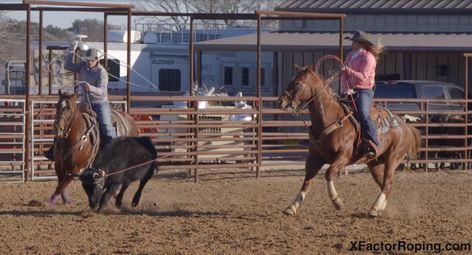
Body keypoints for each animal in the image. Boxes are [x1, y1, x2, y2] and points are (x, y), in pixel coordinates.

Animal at [276, 64, 420, 216]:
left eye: (298, 83)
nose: (281, 101)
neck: (330, 119)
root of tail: (405, 125)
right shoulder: (314, 158)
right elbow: (307, 180)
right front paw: (292, 206)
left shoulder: (343, 157)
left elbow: (329, 173)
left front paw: (337, 201)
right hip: (374, 163)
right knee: (384, 184)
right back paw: (379, 207)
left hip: (393, 158)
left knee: (387, 183)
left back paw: (375, 209)